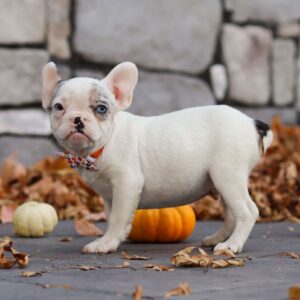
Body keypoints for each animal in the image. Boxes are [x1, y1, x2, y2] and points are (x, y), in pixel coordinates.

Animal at [41, 61, 274, 253]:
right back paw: (218, 239)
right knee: (232, 215)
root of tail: (252, 122)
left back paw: (231, 246)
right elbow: (111, 216)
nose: (77, 119)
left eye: (101, 108)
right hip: (223, 183)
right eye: (58, 107)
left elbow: (117, 218)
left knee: (247, 212)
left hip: (227, 175)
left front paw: (106, 243)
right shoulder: (109, 194)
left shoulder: (126, 184)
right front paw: (113, 239)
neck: (101, 146)